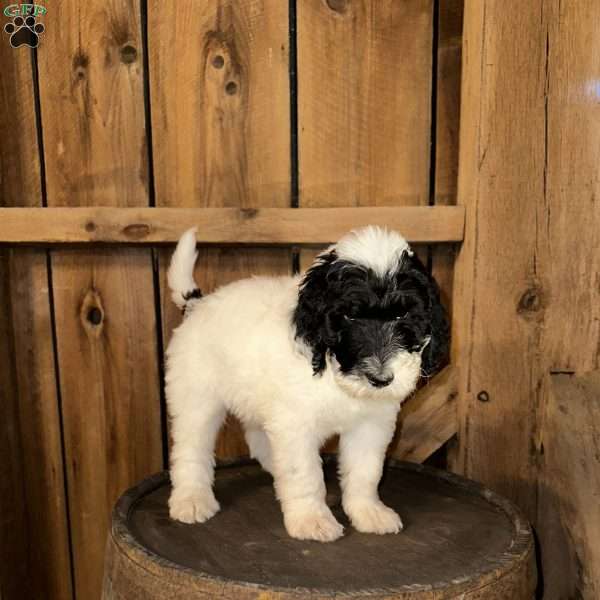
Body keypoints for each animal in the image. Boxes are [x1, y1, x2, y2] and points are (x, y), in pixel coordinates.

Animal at [166, 226, 448, 544]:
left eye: (403, 314)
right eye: (349, 315)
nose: (380, 379)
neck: (333, 375)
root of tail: (197, 303)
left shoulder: (371, 424)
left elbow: (365, 470)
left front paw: (368, 512)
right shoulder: (295, 426)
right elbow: (304, 474)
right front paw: (312, 520)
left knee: (256, 436)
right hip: (196, 396)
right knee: (191, 448)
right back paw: (191, 499)